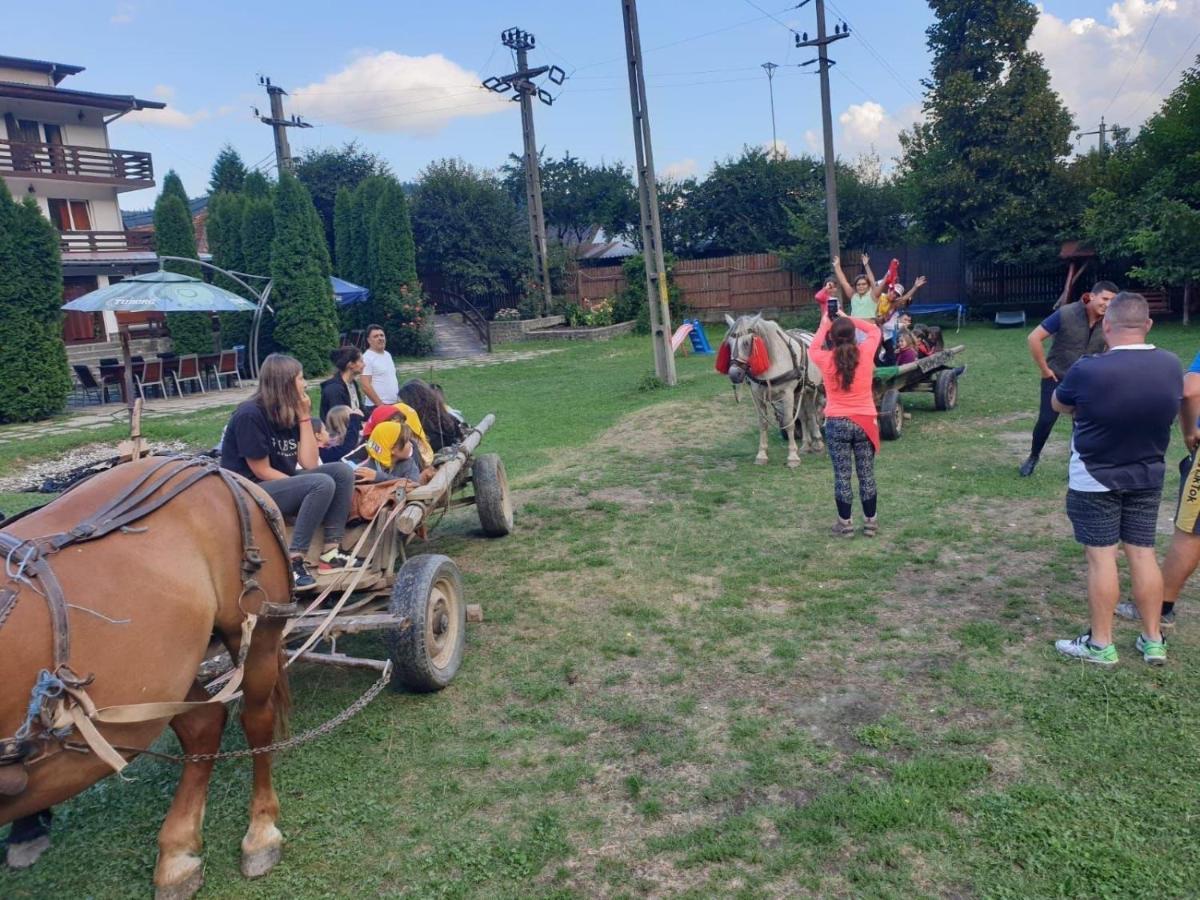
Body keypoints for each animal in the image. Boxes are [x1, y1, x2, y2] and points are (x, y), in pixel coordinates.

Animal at [1, 458, 295, 900]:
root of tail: (214, 468)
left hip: (255, 631)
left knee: (256, 720)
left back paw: (260, 833)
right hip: (170, 670)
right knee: (204, 724)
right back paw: (176, 855)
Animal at [720, 314, 825, 468]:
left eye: (746, 343)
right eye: (729, 343)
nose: (734, 374)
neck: (773, 360)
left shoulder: (787, 394)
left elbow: (789, 422)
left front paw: (792, 457)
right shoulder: (758, 396)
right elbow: (763, 423)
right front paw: (762, 455)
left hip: (813, 389)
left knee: (812, 414)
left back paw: (818, 442)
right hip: (800, 391)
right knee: (803, 416)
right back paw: (806, 445)